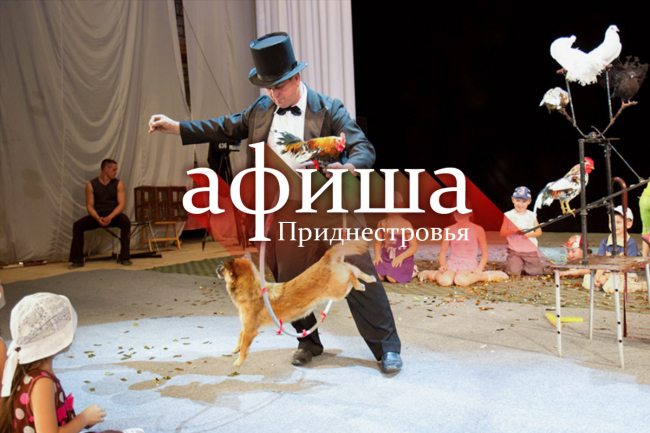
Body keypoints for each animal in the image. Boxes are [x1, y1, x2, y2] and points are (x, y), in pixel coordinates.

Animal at [216, 240, 376, 366]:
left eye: (223, 267)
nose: (217, 265)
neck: (252, 290)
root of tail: (325, 259)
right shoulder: (246, 325)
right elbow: (240, 335)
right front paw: (235, 348)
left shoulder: (250, 329)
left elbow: (244, 346)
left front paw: (238, 362)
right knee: (354, 269)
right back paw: (369, 279)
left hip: (338, 291)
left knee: (351, 273)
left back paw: (359, 285)